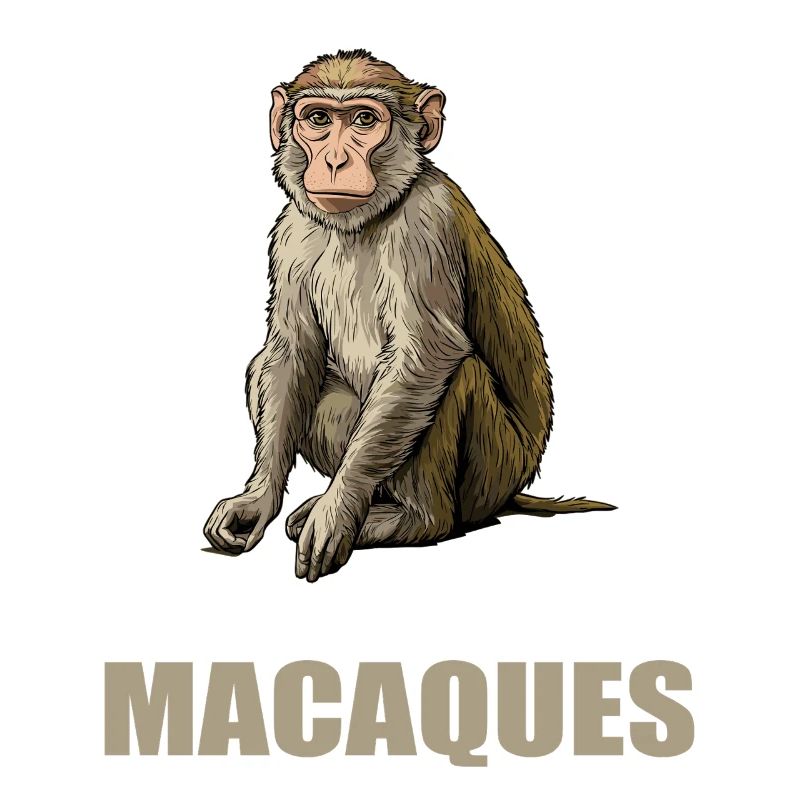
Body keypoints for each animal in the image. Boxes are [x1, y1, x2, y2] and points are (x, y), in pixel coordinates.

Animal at [203, 50, 614, 581]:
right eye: (318, 119)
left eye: (364, 120)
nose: (333, 160)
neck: (364, 220)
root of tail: (511, 488)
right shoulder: (291, 230)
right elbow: (289, 352)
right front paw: (256, 501)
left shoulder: (427, 224)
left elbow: (426, 356)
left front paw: (337, 512)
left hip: (490, 471)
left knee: (457, 375)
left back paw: (413, 520)